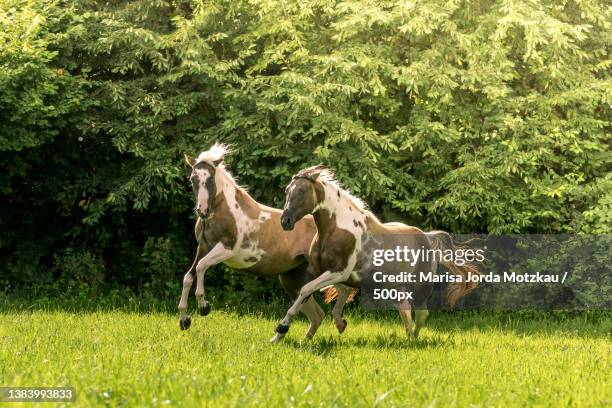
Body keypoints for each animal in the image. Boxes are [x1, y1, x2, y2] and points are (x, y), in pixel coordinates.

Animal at [177, 143, 322, 338]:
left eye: (210, 178)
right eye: (193, 178)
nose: (202, 210)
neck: (223, 212)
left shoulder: (226, 249)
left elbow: (201, 267)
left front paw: (204, 307)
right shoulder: (203, 247)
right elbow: (188, 277)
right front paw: (184, 320)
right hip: (292, 279)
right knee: (317, 315)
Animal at [274, 166, 480, 342]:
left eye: (302, 191)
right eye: (287, 190)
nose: (285, 221)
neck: (336, 229)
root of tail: (427, 238)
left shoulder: (339, 271)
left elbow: (306, 290)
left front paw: (281, 329)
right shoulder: (327, 272)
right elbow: (321, 292)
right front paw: (340, 324)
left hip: (420, 288)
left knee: (421, 314)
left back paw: (413, 341)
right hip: (396, 288)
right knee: (406, 312)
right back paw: (407, 340)